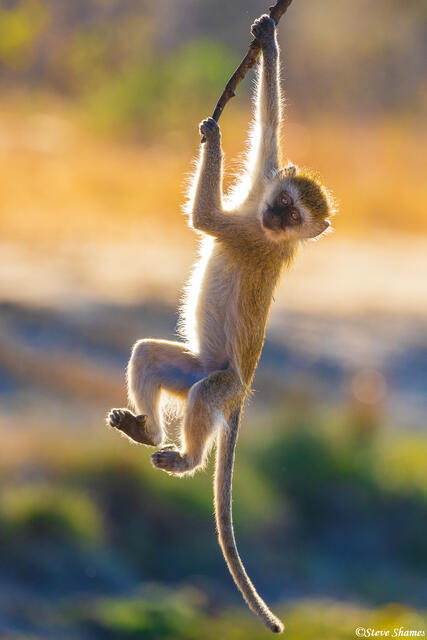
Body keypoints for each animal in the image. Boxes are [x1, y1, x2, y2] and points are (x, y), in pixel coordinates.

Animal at [107, 14, 334, 634]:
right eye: (284, 201)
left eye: (293, 217)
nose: (275, 217)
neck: (266, 227)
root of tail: (244, 388)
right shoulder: (259, 189)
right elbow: (270, 124)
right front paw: (268, 44)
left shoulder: (248, 233)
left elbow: (206, 218)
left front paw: (212, 135)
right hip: (193, 367)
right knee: (151, 358)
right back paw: (149, 430)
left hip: (224, 383)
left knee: (206, 397)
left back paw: (186, 458)